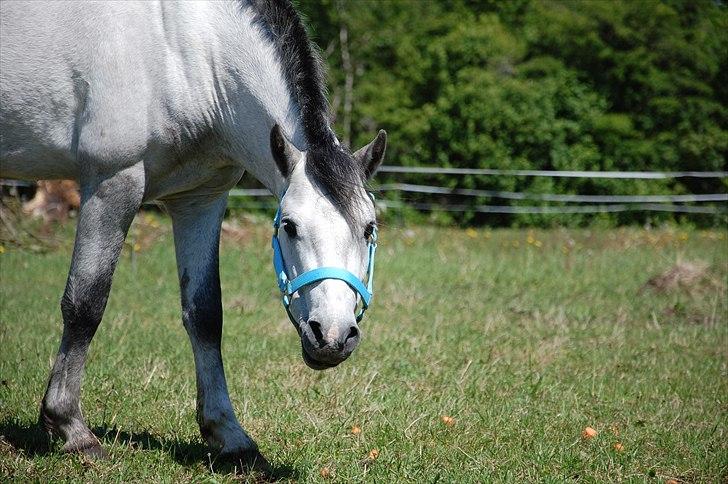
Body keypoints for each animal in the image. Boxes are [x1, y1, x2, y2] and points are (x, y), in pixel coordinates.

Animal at [0, 0, 386, 466]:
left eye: (369, 228)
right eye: (289, 226)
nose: (331, 336)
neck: (184, 50)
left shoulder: (200, 200)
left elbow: (205, 314)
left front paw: (230, 435)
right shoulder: (112, 182)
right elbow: (85, 303)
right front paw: (71, 428)